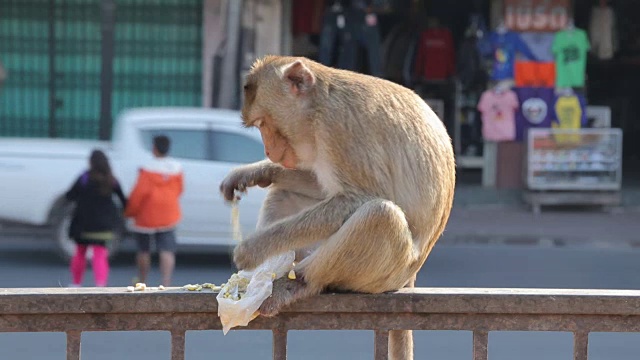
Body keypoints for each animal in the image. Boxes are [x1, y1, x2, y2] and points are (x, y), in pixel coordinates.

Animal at [220, 56, 456, 360]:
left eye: (263, 122)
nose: (269, 151)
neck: (318, 105)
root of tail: (410, 276)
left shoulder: (339, 130)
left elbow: (361, 197)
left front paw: (253, 250)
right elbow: (325, 189)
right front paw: (255, 172)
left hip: (388, 272)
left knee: (380, 215)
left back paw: (295, 283)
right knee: (285, 193)